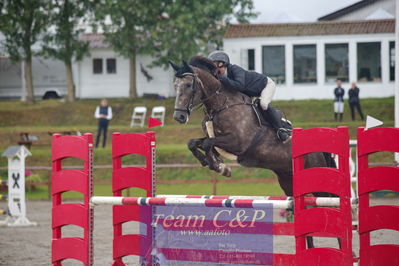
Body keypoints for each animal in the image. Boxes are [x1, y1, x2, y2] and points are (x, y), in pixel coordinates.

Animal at [169, 56, 334, 197]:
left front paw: (220, 167)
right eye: (175, 86)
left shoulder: (238, 143)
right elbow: (194, 143)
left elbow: (207, 143)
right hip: (287, 181)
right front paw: (214, 164)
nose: (179, 117)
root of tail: (318, 150)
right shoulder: (216, 138)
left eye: (188, 85)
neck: (220, 105)